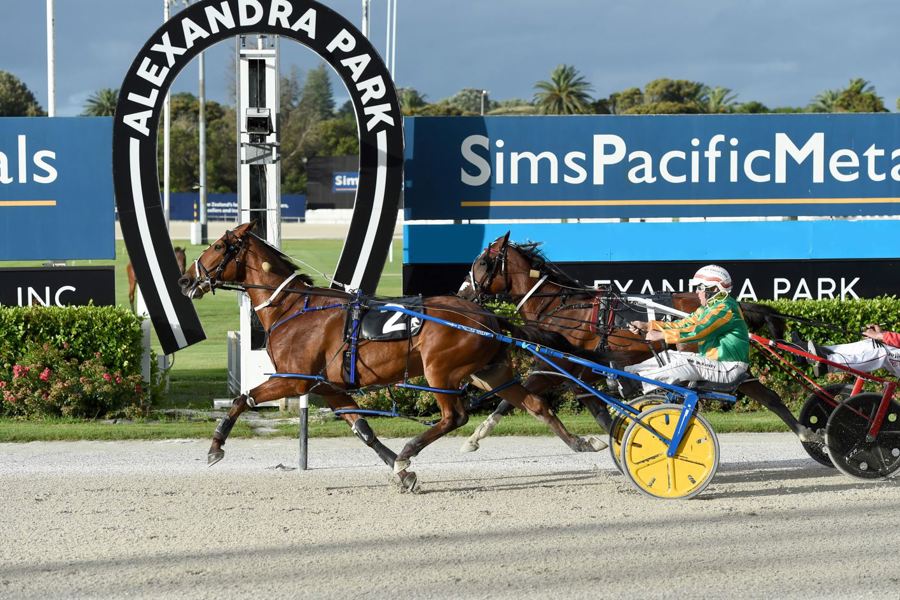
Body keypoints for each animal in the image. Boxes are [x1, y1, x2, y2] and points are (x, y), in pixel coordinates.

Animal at [178, 223, 620, 491]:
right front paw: (398, 471)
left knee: (454, 417)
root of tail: (488, 316)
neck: (295, 309)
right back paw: (583, 443)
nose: (184, 280)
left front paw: (215, 447)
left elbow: (242, 399)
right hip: (493, 371)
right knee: (534, 404)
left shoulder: (294, 378)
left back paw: (410, 451)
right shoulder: (327, 386)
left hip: (440, 370)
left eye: (218, 246)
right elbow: (362, 429)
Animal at [458, 233, 817, 453]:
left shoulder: (555, 364)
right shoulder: (577, 370)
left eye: (483, 263)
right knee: (765, 394)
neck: (560, 305)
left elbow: (512, 399)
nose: (463, 294)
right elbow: (594, 408)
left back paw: (807, 433)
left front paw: (474, 437)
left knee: (763, 394)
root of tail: (736, 304)